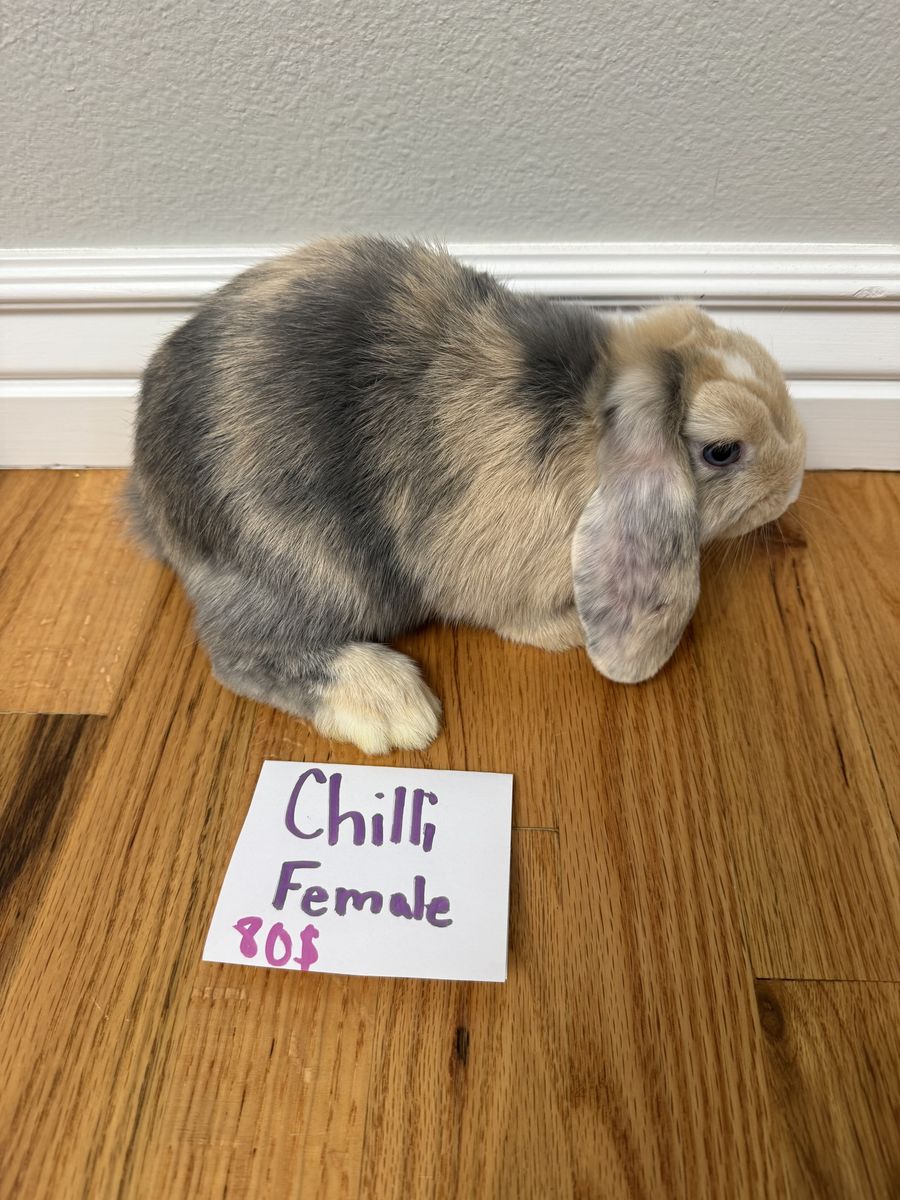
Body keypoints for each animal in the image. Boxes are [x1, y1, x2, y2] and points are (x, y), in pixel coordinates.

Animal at [128, 236, 806, 754]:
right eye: (722, 451)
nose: (795, 481)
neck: (589, 427)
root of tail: (155, 503)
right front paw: (566, 631)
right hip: (306, 569)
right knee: (238, 652)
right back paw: (390, 705)